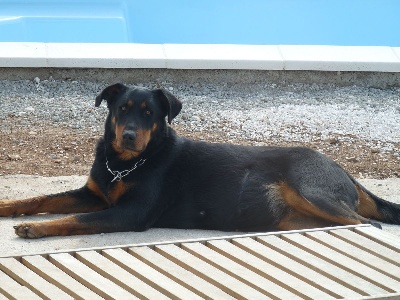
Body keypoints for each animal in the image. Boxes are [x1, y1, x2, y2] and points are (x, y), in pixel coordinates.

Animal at [0, 83, 400, 238]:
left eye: (149, 113)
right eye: (123, 109)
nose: (128, 135)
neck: (127, 162)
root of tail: (344, 171)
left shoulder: (129, 213)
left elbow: (75, 219)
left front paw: (34, 228)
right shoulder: (94, 193)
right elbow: (41, 198)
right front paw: (8, 207)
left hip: (312, 189)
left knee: (366, 223)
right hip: (297, 214)